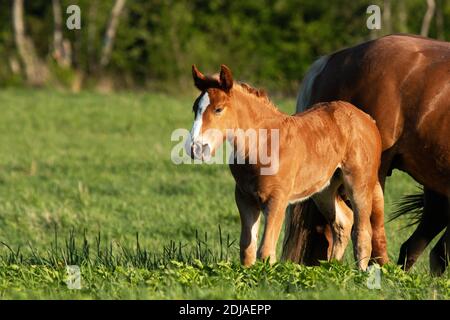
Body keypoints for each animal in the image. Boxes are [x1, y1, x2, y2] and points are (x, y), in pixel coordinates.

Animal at [188, 64, 384, 270]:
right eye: (195, 109)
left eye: (218, 109)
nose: (196, 149)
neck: (262, 144)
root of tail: (367, 119)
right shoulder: (245, 199)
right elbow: (247, 250)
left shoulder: (277, 199)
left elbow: (265, 250)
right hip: (324, 189)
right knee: (343, 222)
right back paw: (331, 269)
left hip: (359, 184)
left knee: (362, 232)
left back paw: (359, 273)